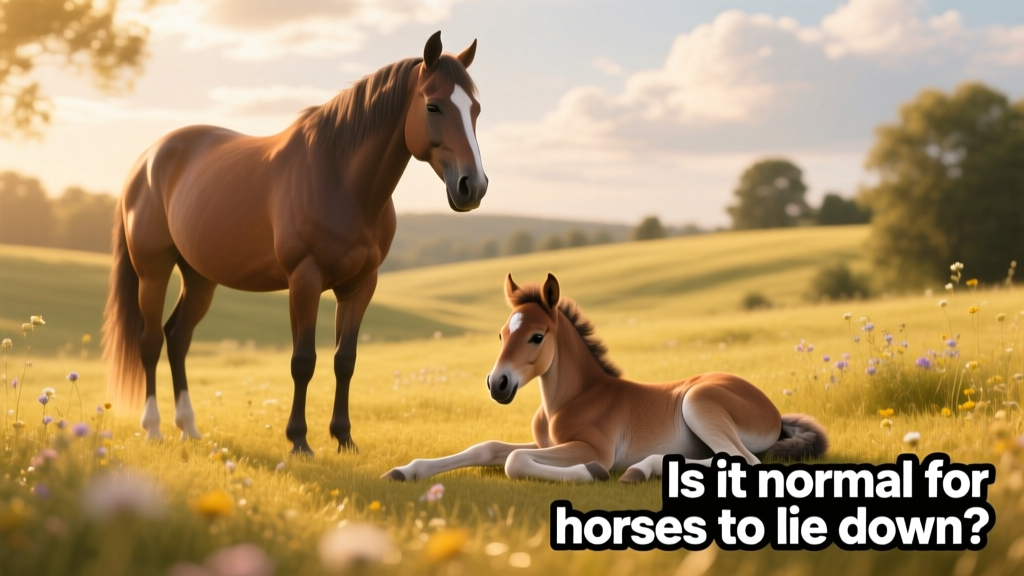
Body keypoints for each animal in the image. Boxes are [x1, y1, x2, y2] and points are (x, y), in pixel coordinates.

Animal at [102, 32, 488, 454]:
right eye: (433, 106)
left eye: (475, 110)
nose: (473, 186)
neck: (340, 180)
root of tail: (146, 161)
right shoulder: (304, 281)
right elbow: (303, 361)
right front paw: (299, 440)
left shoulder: (360, 285)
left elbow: (345, 360)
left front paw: (344, 437)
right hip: (153, 272)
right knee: (151, 340)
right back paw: (153, 427)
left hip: (200, 277)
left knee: (178, 338)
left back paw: (188, 426)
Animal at [384, 273, 828, 482]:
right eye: (501, 334)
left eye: (537, 336)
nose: (498, 384)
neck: (571, 399)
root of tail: (775, 413)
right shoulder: (549, 443)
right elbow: (490, 448)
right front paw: (405, 471)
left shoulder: (590, 447)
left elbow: (513, 459)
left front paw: (591, 474)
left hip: (699, 402)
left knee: (745, 462)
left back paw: (638, 470)